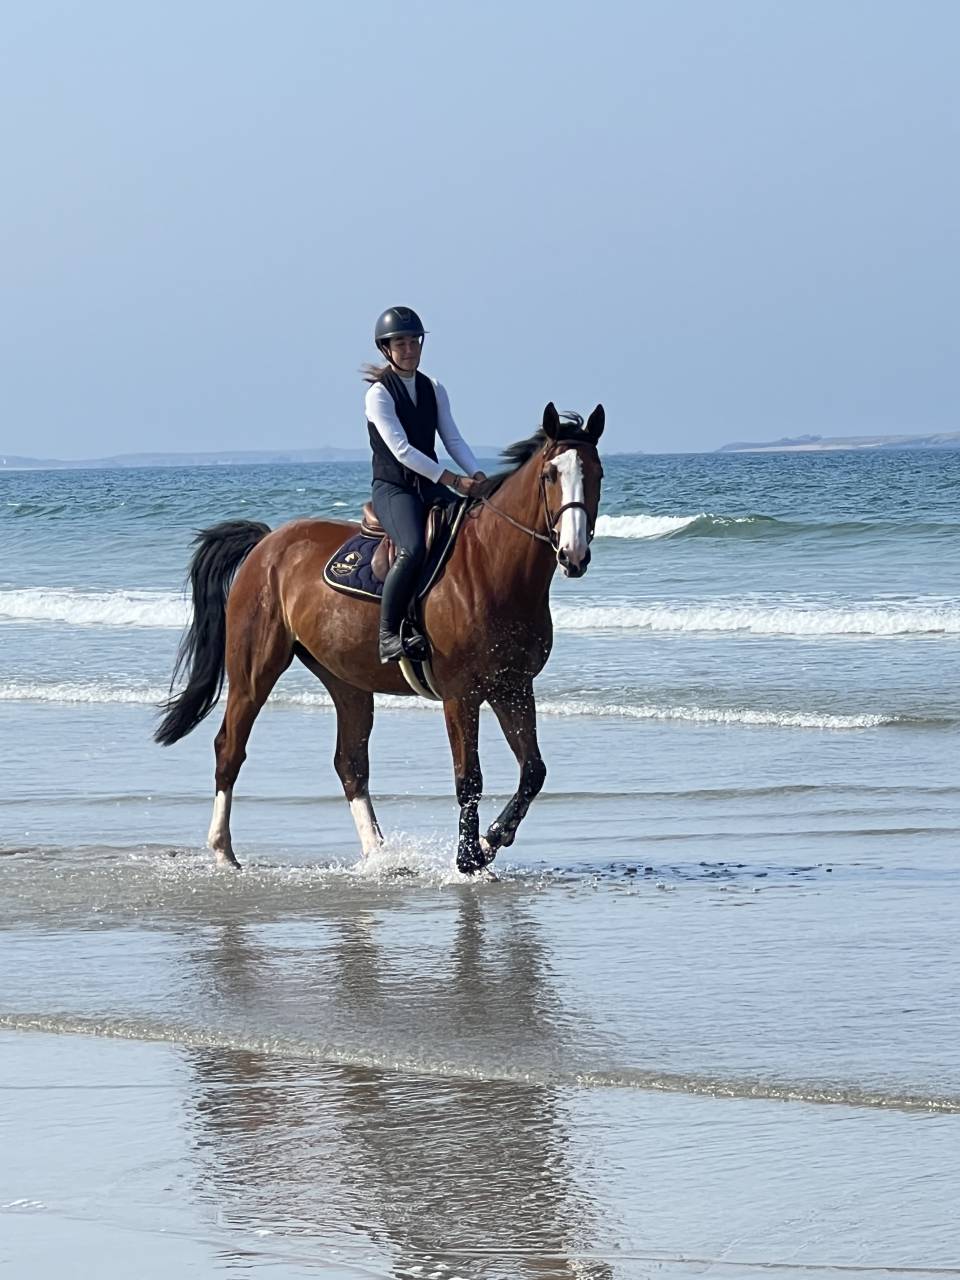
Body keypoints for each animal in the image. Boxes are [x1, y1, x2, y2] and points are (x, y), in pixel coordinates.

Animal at [155, 402, 604, 874]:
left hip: (346, 681)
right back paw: (223, 850)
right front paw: (468, 857)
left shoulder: (512, 687)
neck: (493, 566)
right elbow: (469, 778)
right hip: (253, 672)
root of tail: (267, 544)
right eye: (550, 474)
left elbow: (533, 771)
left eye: (596, 473)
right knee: (230, 747)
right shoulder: (460, 694)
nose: (573, 555)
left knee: (350, 762)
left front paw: (489, 841)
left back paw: (379, 854)